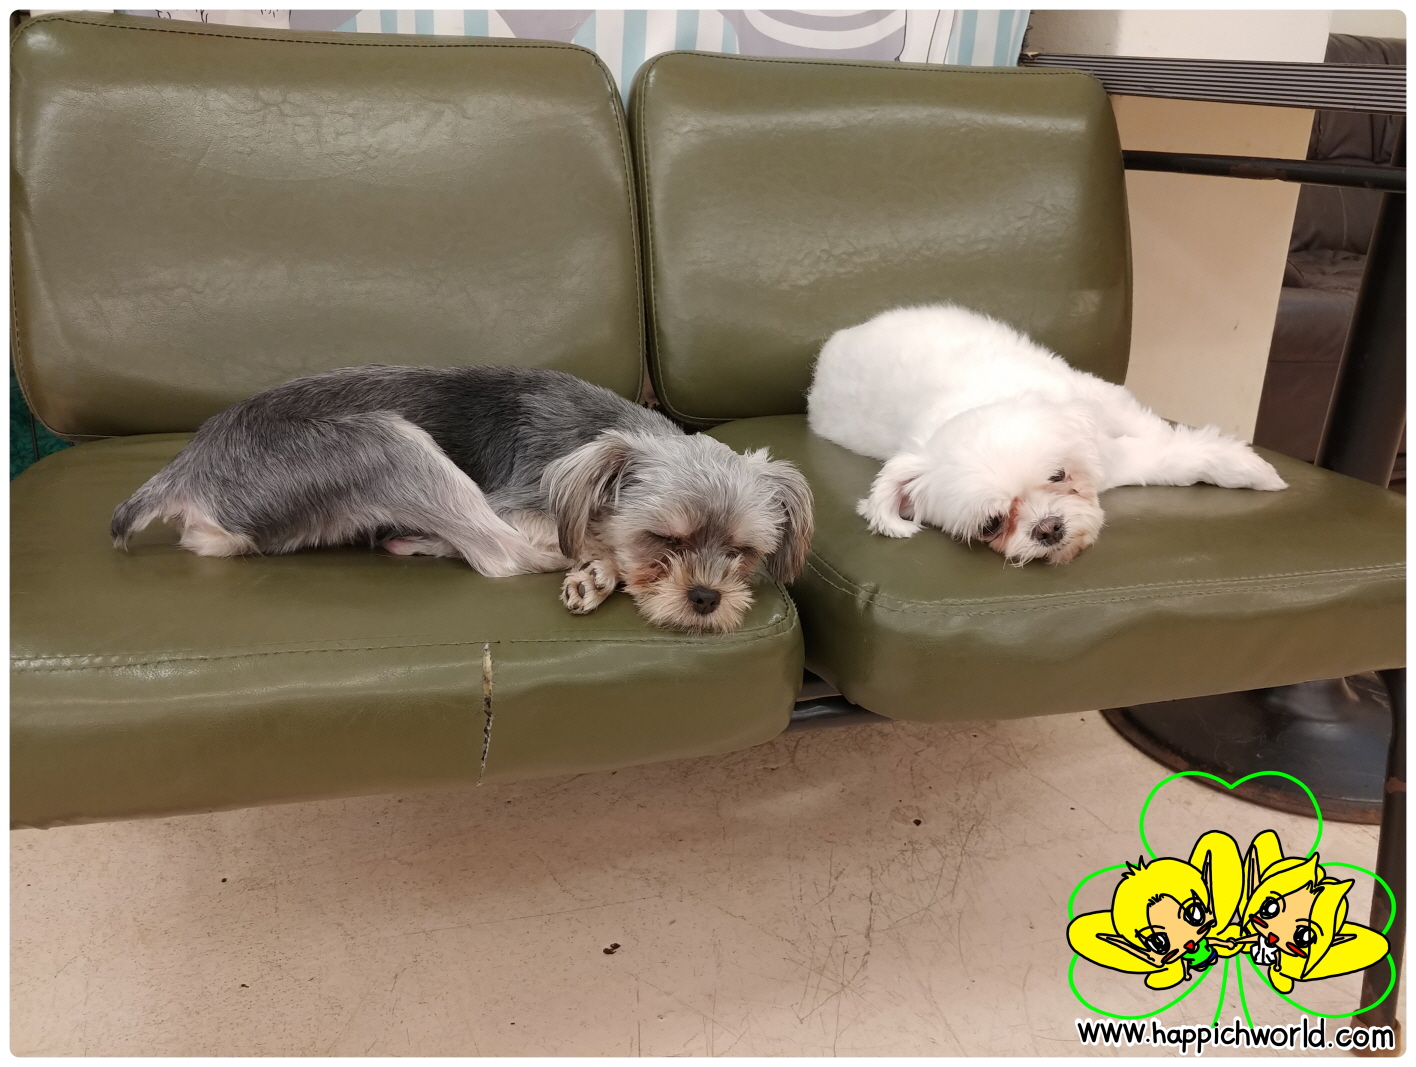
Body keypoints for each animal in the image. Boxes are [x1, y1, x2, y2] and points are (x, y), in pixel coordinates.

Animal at [111, 365, 813, 632]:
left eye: (744, 553)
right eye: (663, 539)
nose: (706, 599)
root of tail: (188, 468)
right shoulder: (519, 500)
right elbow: (574, 538)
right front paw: (599, 569)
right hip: (384, 440)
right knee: (497, 555)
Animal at [806, 304, 1286, 564]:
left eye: (1058, 476)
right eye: (991, 525)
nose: (1048, 528)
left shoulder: (1099, 402)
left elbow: (1159, 438)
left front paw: (1247, 469)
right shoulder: (1117, 460)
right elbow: (1166, 459)